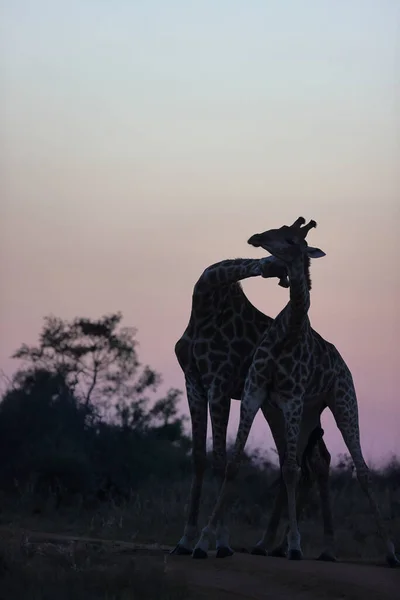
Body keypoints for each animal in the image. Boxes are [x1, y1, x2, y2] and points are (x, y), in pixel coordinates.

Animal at [172, 246, 334, 560]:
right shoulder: (193, 383)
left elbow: (220, 461)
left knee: (307, 463)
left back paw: (314, 548)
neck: (203, 307)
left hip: (289, 406)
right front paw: (184, 540)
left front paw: (220, 543)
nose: (289, 281)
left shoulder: (219, 385)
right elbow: (198, 458)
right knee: (309, 462)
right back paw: (280, 545)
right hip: (292, 410)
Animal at [192, 217, 398, 568]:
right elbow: (236, 463)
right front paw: (204, 540)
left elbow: (289, 469)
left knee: (359, 470)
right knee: (311, 463)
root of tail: (342, 362)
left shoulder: (292, 398)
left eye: (291, 239)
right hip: (304, 413)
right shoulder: (255, 391)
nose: (255, 237)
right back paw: (303, 547)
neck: (289, 331)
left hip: (343, 402)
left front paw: (295, 545)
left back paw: (389, 552)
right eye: (276, 228)